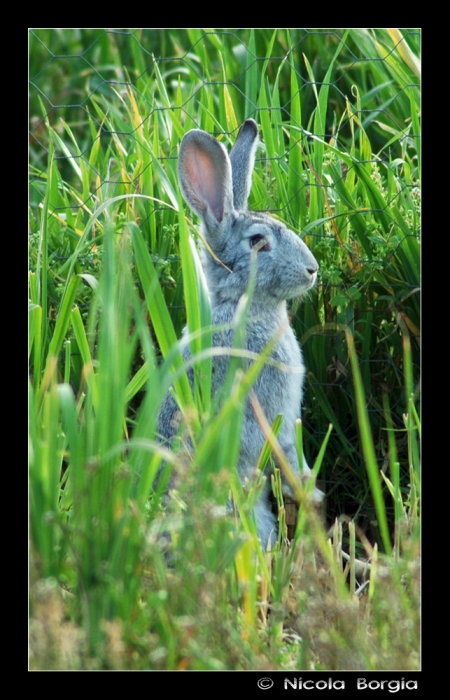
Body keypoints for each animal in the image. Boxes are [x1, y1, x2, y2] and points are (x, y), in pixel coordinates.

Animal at [156, 119, 322, 548]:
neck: (242, 306)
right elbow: (284, 451)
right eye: (258, 242)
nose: (313, 269)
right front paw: (310, 490)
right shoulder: (272, 412)